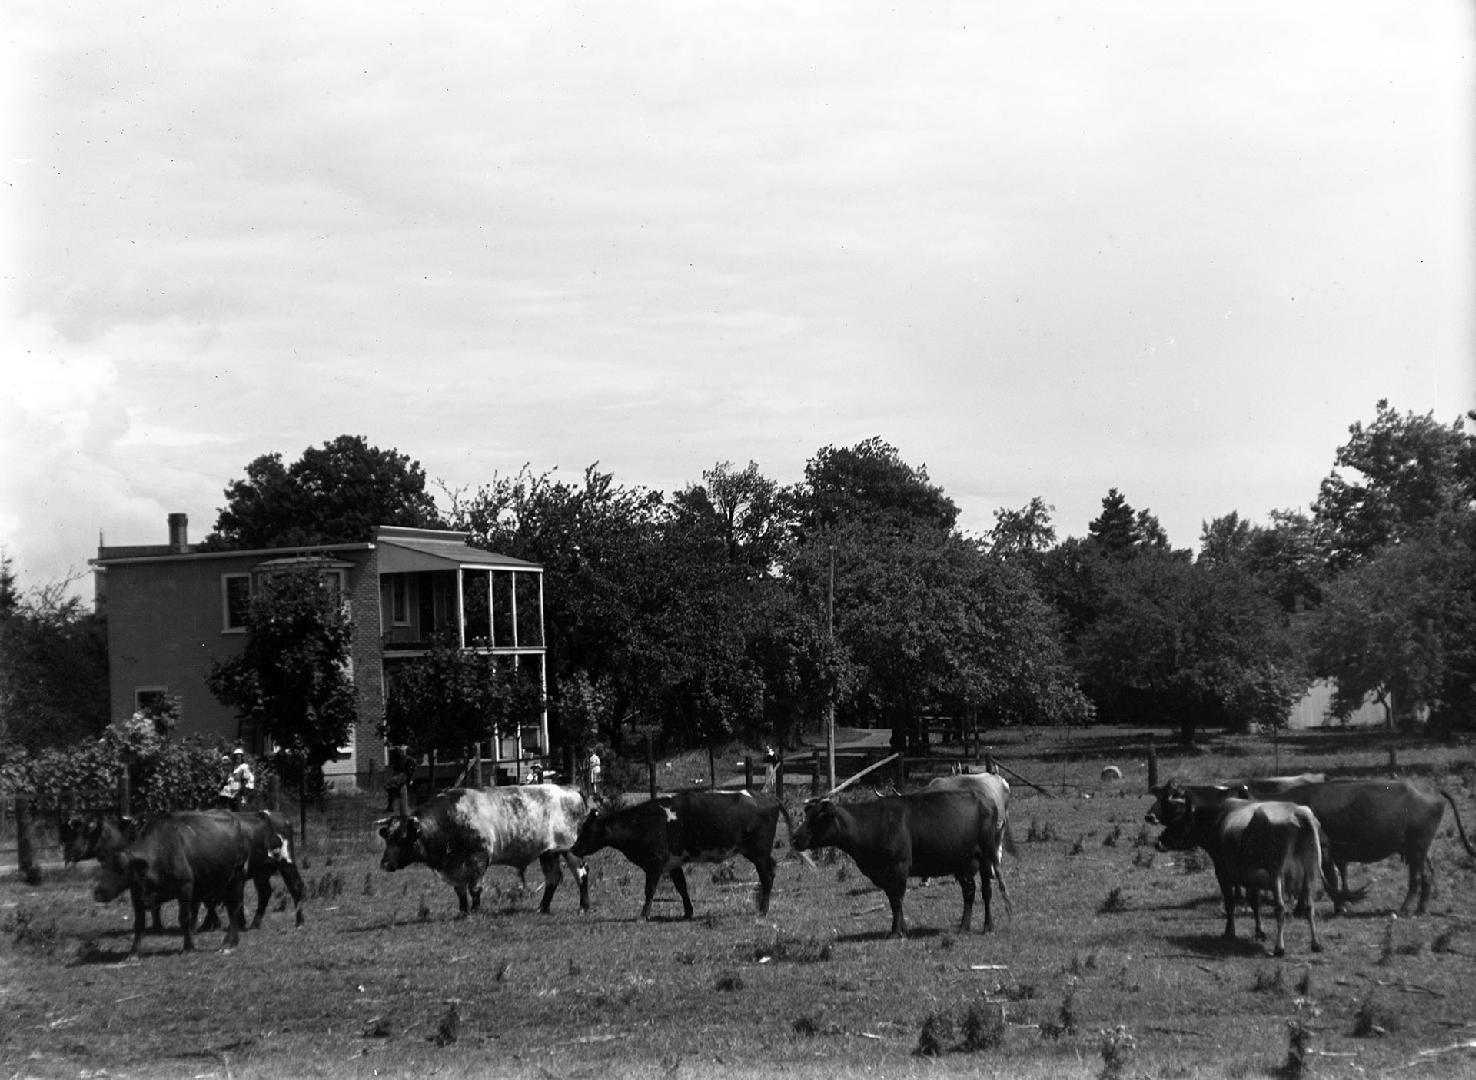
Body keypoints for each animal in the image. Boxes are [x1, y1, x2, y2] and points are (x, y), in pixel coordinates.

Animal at [95, 808, 252, 956]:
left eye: (122, 868)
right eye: (102, 864)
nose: (98, 893)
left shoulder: (185, 889)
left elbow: (184, 919)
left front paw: (188, 947)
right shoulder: (137, 894)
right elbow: (139, 924)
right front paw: (133, 952)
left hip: (236, 879)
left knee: (234, 909)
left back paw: (229, 942)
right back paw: (232, 940)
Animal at [566, 784, 797, 920]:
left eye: (587, 830)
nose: (573, 848)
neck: (641, 822)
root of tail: (767, 796)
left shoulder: (655, 863)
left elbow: (649, 890)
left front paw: (643, 915)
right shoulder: (673, 863)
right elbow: (682, 888)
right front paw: (688, 912)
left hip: (758, 852)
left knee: (767, 875)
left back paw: (763, 910)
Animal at [791, 790, 997, 938]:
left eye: (818, 818)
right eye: (806, 816)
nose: (794, 838)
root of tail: (985, 799)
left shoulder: (899, 866)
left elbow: (897, 900)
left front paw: (896, 932)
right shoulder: (884, 873)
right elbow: (893, 900)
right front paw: (902, 928)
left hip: (987, 856)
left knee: (986, 891)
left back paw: (988, 926)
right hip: (962, 862)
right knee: (969, 891)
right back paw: (963, 927)